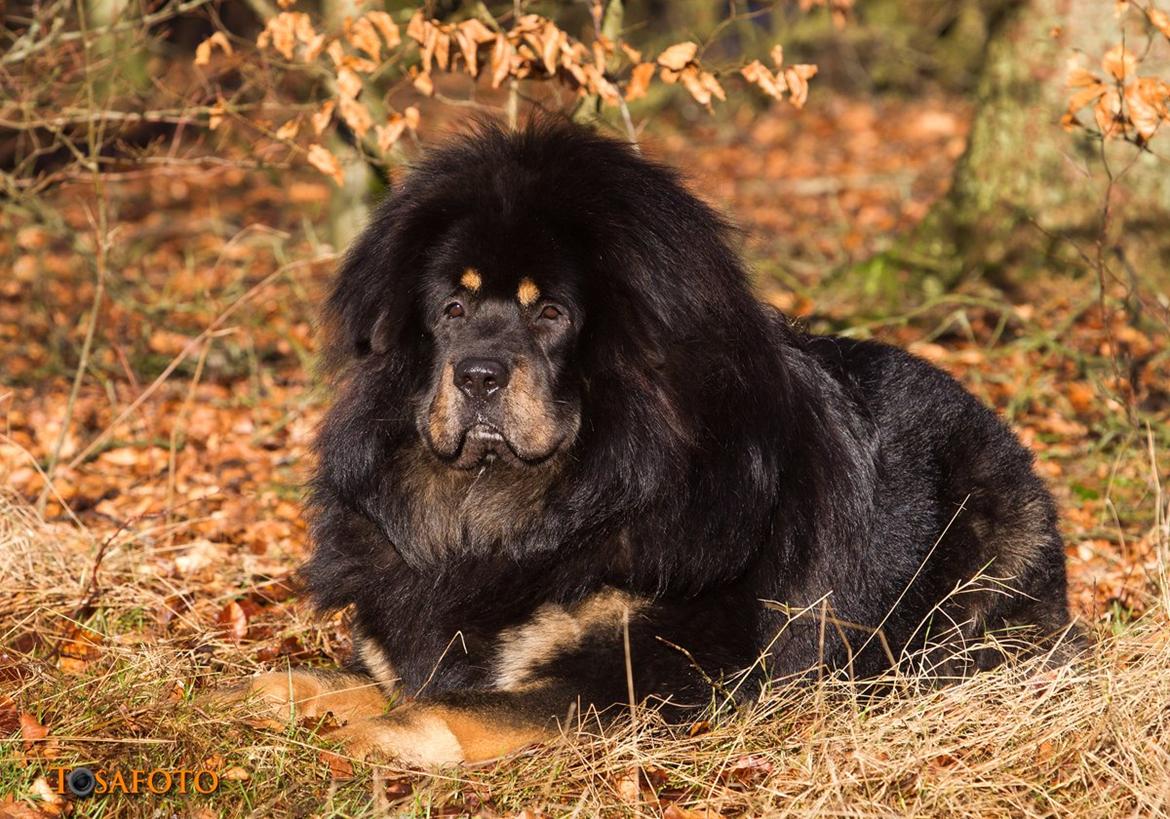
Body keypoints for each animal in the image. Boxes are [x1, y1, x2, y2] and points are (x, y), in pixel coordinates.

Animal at [239, 121, 1076, 767]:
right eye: (451, 308)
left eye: (550, 314)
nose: (476, 374)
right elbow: (304, 681)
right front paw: (244, 704)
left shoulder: (640, 682)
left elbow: (435, 709)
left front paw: (330, 746)